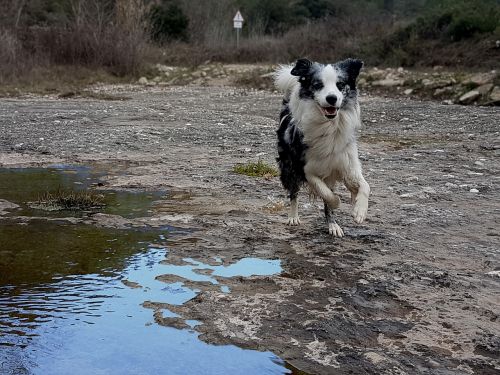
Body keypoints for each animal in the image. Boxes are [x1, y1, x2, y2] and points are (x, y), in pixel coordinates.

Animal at [276, 57, 370, 236]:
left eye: (340, 84)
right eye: (318, 85)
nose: (332, 98)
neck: (329, 126)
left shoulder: (347, 164)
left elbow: (365, 186)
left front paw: (359, 210)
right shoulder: (306, 169)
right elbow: (327, 194)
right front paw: (338, 202)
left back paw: (333, 225)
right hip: (289, 167)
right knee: (294, 193)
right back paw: (293, 216)